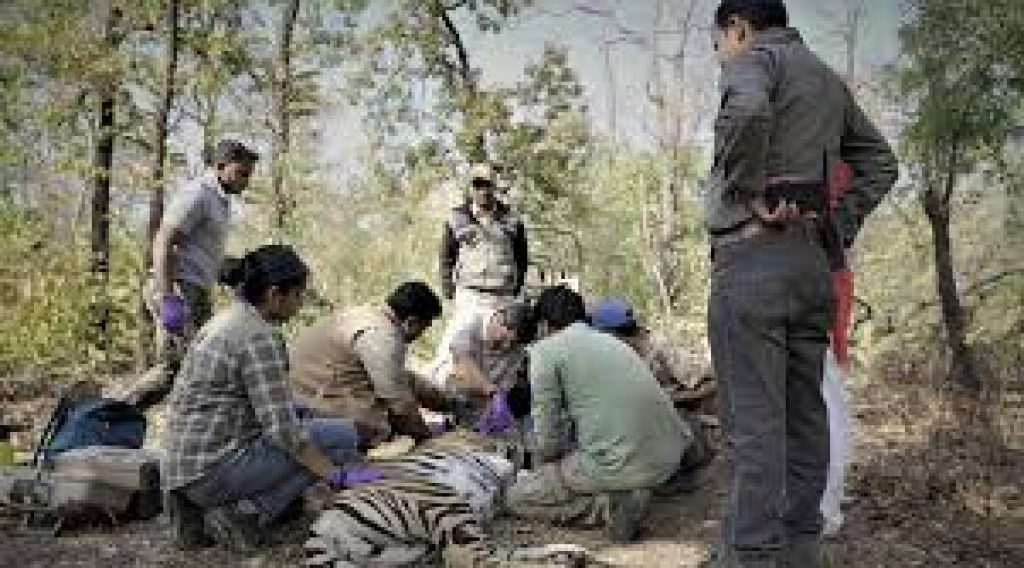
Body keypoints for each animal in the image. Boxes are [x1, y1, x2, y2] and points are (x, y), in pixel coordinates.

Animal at [303, 433, 598, 564]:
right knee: (475, 560)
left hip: (410, 548)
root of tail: (320, 525)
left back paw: (571, 554)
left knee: (499, 553)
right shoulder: (505, 451)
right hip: (445, 504)